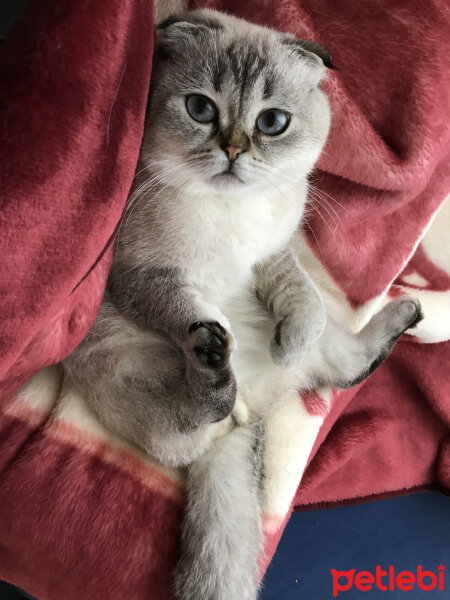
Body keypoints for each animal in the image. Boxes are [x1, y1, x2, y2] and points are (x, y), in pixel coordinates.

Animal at [62, 10, 422, 600]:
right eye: (201, 110)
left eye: (272, 122)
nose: (233, 151)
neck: (233, 212)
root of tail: (255, 404)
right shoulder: (146, 277)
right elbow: (184, 309)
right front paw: (212, 334)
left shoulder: (274, 256)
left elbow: (300, 303)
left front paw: (286, 341)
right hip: (123, 370)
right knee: (193, 422)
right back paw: (214, 365)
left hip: (314, 346)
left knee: (342, 362)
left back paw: (405, 314)